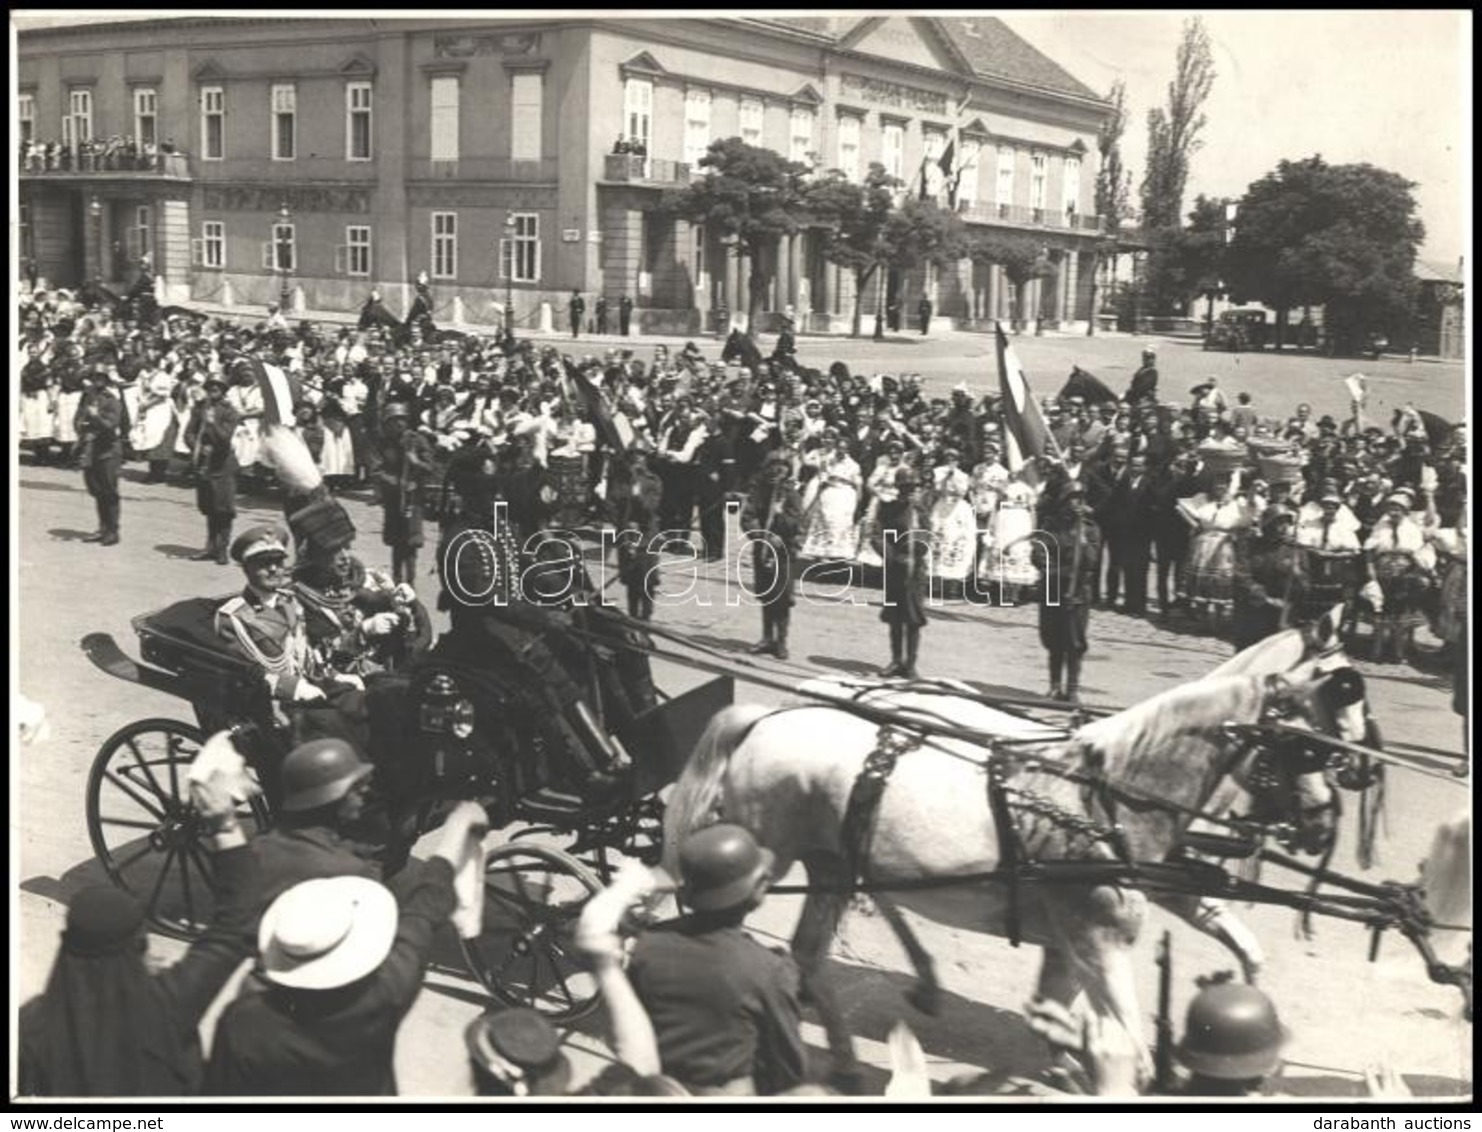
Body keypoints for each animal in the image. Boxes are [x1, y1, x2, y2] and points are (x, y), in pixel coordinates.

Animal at [666, 622, 1369, 1084]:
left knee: (811, 951)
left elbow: (1234, 954)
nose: (1322, 821)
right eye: (1310, 741)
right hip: (763, 855)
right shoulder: (1098, 936)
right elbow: (1122, 1046)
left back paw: (847, 1054)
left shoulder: (1096, 926)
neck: (1107, 791)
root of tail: (769, 717)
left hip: (834, 864)